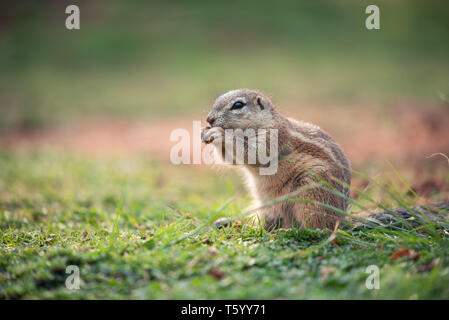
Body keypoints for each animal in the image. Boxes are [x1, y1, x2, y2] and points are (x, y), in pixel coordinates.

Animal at [201, 89, 352, 231]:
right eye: (216, 100)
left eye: (238, 105)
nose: (209, 119)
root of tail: (341, 219)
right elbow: (231, 160)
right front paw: (206, 131)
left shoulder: (274, 135)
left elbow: (255, 154)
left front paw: (218, 133)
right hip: (265, 205)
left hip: (312, 196)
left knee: (319, 226)